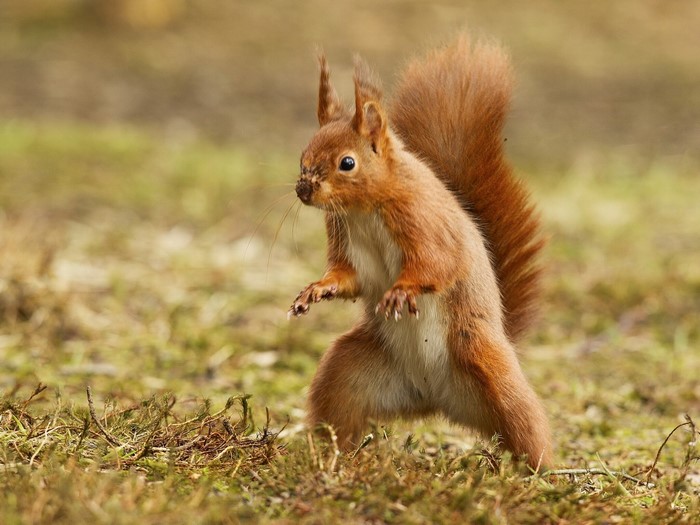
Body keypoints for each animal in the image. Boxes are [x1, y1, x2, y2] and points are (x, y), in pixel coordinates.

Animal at [288, 35, 552, 470]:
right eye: (302, 155)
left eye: (347, 162)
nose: (303, 190)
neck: (365, 209)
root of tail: (436, 399)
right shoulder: (344, 237)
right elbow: (348, 277)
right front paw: (317, 289)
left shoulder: (425, 222)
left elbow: (438, 263)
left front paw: (403, 290)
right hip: (348, 372)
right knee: (339, 414)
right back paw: (329, 456)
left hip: (487, 366)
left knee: (526, 425)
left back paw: (539, 472)